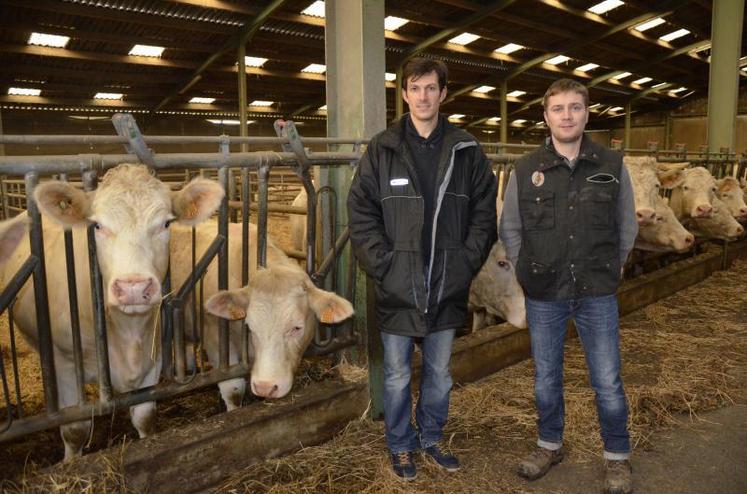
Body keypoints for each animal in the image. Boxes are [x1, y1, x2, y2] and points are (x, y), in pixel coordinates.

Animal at [2, 165, 225, 460]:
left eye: (166, 223)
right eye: (98, 225)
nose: (134, 287)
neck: (127, 334)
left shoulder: (151, 361)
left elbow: (145, 417)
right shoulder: (66, 364)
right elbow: (75, 429)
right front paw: (71, 463)